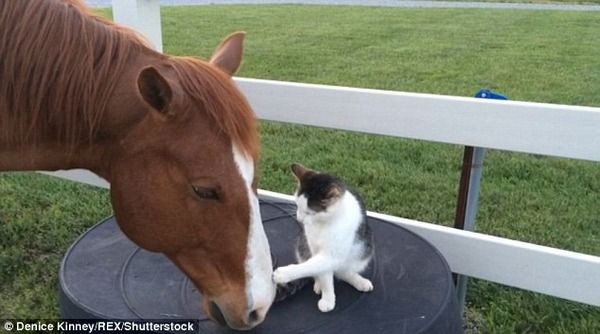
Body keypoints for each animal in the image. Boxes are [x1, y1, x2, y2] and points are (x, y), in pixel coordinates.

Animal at [274, 163, 376, 312]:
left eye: (309, 212)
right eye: (297, 205)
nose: (299, 219)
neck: (323, 224)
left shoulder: (332, 255)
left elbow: (315, 266)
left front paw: (284, 273)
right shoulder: (313, 247)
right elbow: (322, 273)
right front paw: (327, 295)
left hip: (363, 252)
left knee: (344, 272)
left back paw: (359, 281)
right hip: (302, 245)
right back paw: (318, 284)